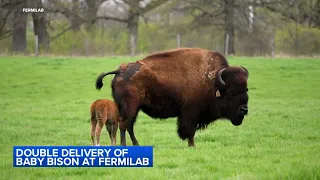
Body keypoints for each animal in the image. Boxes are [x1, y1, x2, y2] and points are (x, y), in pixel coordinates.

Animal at [95, 48, 250, 148]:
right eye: (231, 92)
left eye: (246, 89)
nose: (244, 110)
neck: (213, 81)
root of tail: (120, 70)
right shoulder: (190, 114)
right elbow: (189, 131)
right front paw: (192, 146)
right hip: (131, 107)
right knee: (124, 124)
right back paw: (125, 145)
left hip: (131, 108)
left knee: (128, 125)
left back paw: (136, 144)